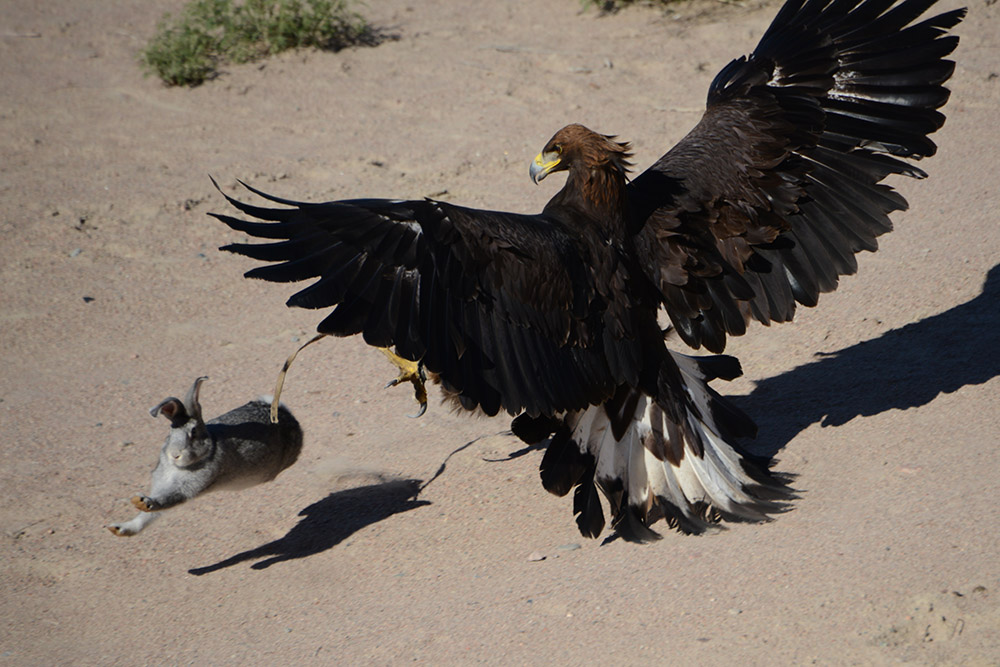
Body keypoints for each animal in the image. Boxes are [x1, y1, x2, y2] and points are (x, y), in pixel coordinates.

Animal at [107, 376, 303, 536]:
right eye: (170, 433)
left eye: (193, 433)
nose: (175, 455)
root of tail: (288, 417)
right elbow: (147, 516)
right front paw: (119, 529)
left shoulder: (191, 486)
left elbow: (166, 500)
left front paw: (142, 502)